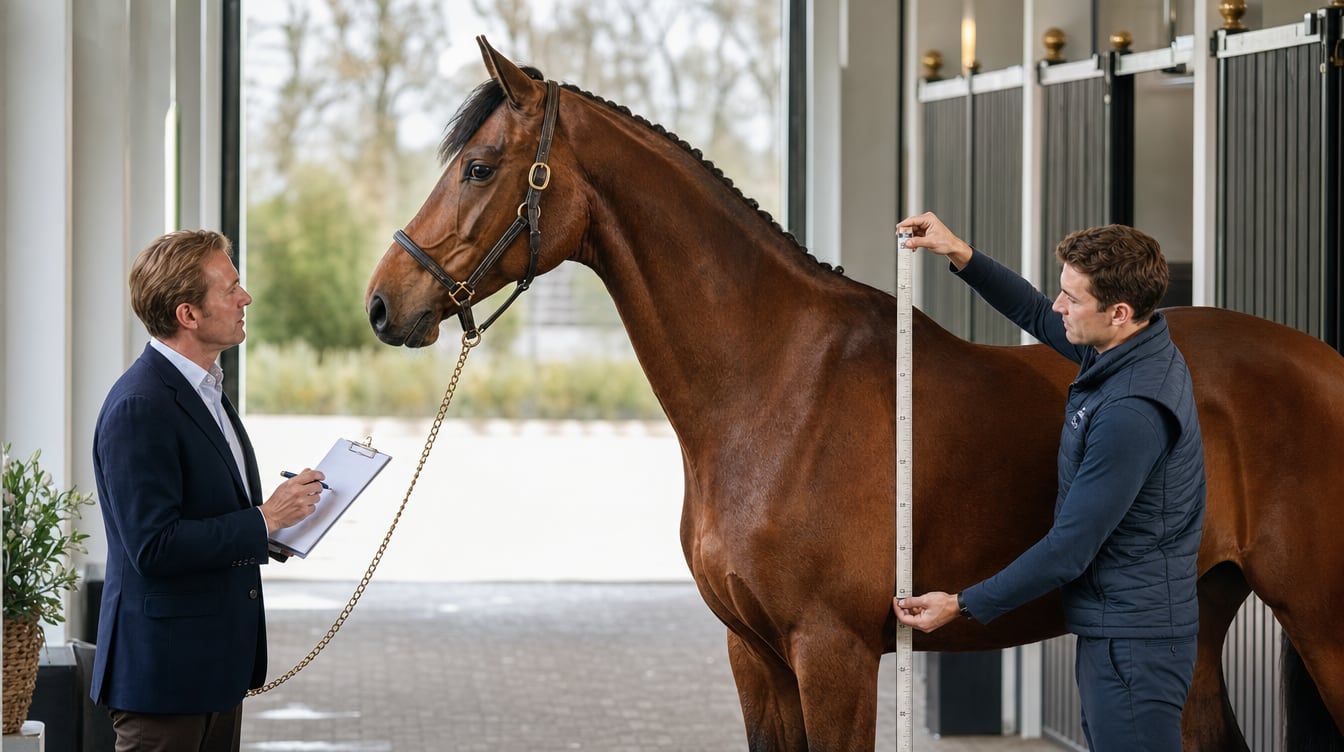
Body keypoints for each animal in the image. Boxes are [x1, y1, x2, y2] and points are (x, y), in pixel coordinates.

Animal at [365, 38, 1344, 751]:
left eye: (480, 166)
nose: (383, 303)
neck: (773, 387)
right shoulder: (755, 656)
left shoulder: (832, 654)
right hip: (1200, 624)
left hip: (1320, 621)